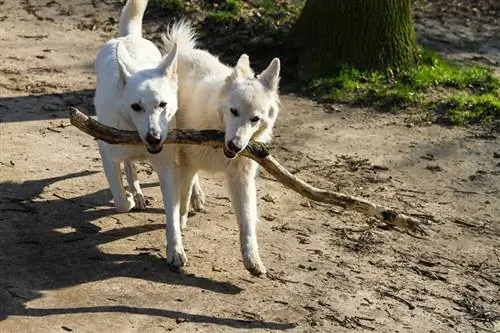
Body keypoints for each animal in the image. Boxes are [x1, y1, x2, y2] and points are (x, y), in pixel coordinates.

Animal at [94, 0, 188, 266]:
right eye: (136, 106)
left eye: (162, 104)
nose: (153, 138)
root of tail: (128, 37)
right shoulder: (106, 152)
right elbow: (120, 201)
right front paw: (128, 198)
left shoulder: (167, 166)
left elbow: (172, 213)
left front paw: (175, 250)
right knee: (128, 165)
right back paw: (135, 192)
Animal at [163, 21, 282, 274]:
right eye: (234, 111)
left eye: (255, 119)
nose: (235, 145)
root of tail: (186, 51)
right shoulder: (187, 161)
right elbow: (182, 196)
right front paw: (180, 224)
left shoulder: (242, 179)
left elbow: (247, 222)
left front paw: (252, 259)